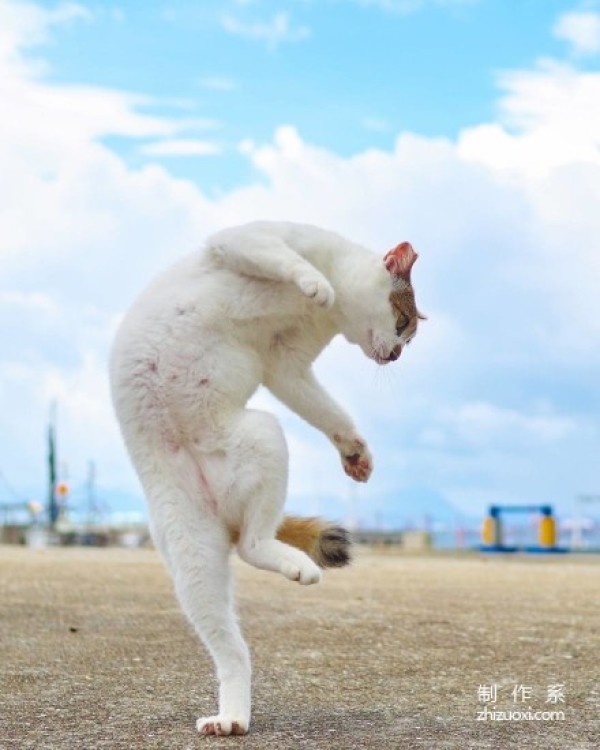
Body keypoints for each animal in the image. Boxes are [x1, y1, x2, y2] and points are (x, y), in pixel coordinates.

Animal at [111, 220, 422, 736]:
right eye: (403, 324)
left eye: (408, 336)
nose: (397, 355)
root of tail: (226, 518)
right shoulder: (246, 241)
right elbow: (284, 257)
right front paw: (316, 284)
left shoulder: (288, 363)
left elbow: (327, 411)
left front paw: (355, 451)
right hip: (206, 523)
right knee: (244, 572)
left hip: (242, 472)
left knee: (245, 573)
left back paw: (233, 714)